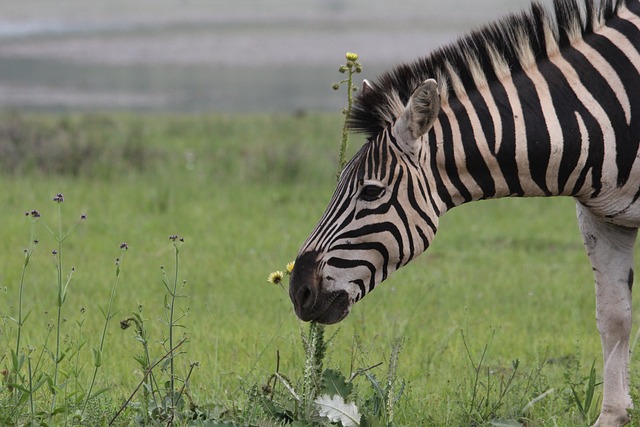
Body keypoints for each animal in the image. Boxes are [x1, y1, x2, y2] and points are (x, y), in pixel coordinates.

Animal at [288, 0, 640, 424]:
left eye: (371, 191)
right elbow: (614, 318)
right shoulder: (601, 218)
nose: (298, 290)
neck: (602, 115)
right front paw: (613, 415)